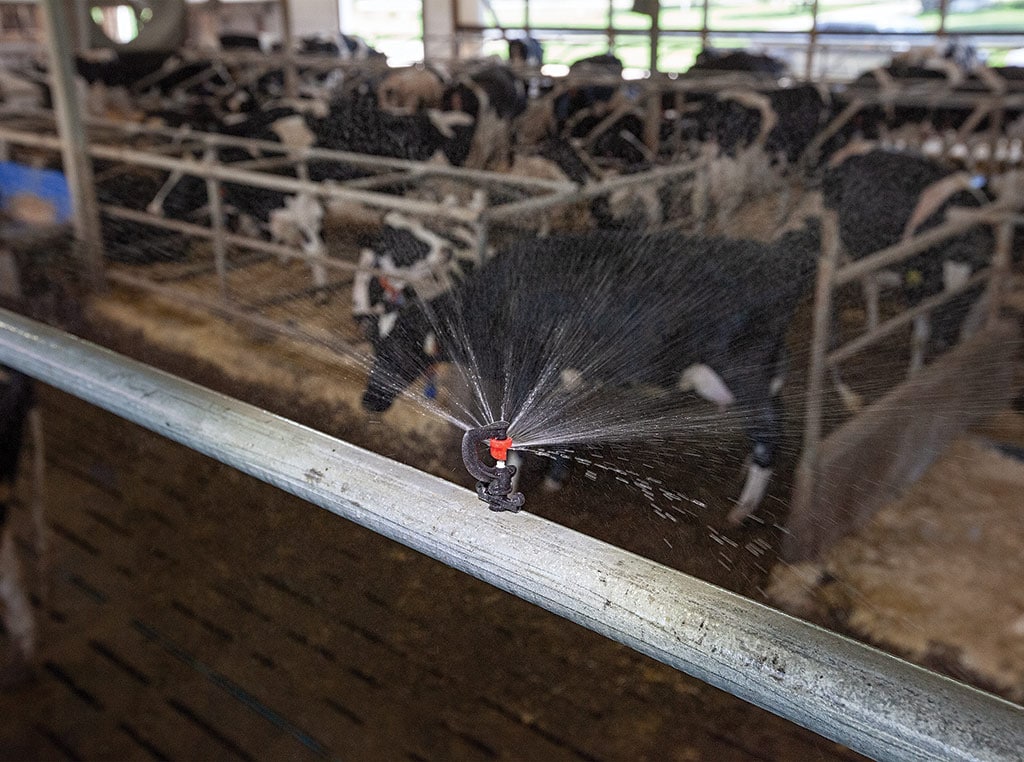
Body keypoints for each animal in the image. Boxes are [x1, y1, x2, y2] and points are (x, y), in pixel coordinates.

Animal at [356, 223, 819, 520]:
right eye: (374, 344)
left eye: (396, 350)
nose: (368, 401)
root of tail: (780, 255)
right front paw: (556, 477)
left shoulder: (526, 374)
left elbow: (514, 442)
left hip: (743, 369)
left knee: (768, 429)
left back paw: (742, 509)